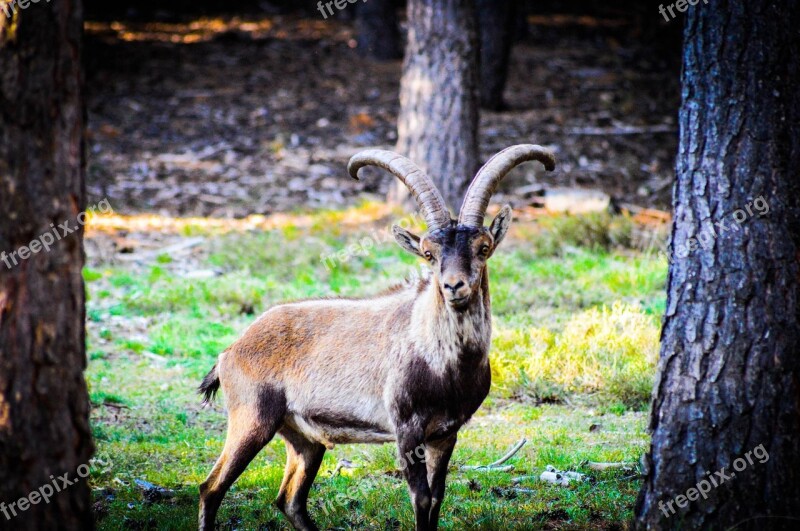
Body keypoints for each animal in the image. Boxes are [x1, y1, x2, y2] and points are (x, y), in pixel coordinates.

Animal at [198, 143, 556, 528]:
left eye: (484, 247)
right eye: (428, 254)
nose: (453, 286)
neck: (444, 365)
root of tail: (231, 350)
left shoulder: (446, 434)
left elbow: (437, 498)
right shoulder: (407, 429)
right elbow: (421, 499)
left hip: (303, 438)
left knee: (290, 499)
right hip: (252, 419)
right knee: (211, 488)